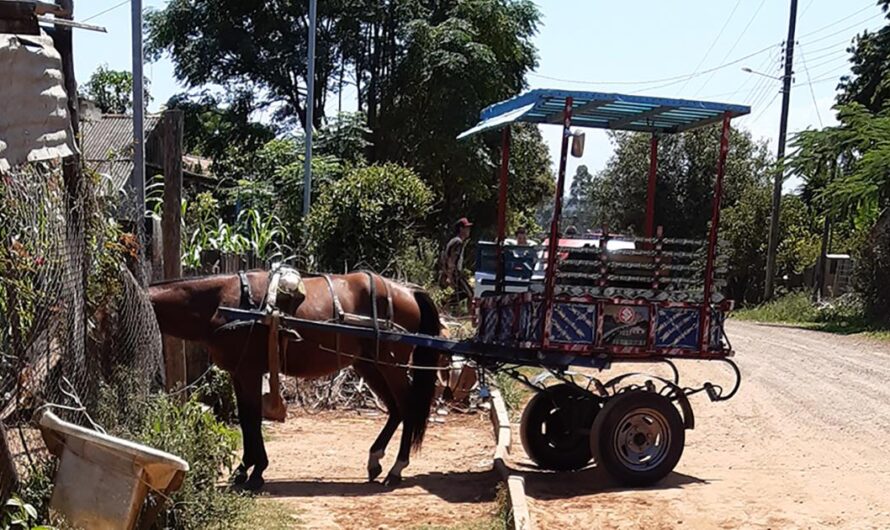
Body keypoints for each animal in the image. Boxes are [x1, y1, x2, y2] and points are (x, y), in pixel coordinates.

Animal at [147, 270, 442, 488]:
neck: (224, 303)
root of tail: (407, 291)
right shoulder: (239, 373)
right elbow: (246, 418)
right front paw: (246, 469)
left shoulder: (249, 371)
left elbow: (251, 419)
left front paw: (254, 472)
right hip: (369, 365)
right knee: (395, 409)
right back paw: (375, 460)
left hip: (391, 365)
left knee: (407, 407)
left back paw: (396, 468)